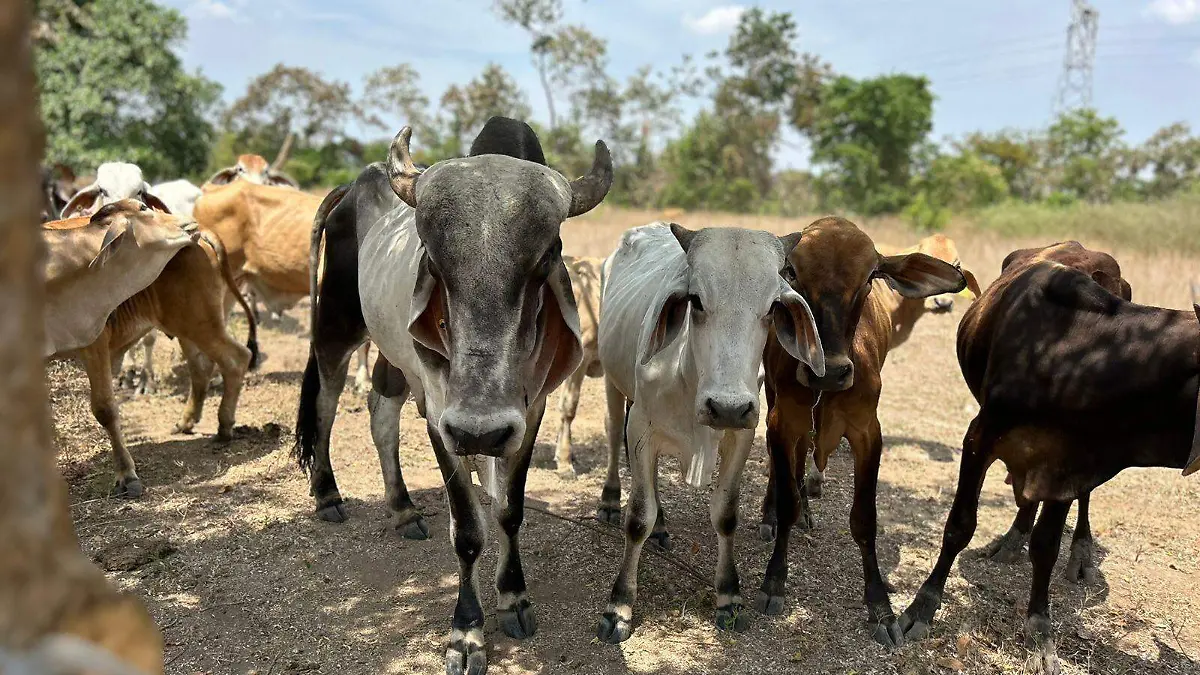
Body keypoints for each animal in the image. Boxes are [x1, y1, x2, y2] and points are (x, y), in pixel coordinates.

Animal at [44, 200, 258, 497]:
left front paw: (127, 475)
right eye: (145, 208)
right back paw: (187, 421)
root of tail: (203, 233)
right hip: (186, 326)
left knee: (236, 358)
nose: (187, 223)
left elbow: (104, 409)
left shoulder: (93, 341)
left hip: (200, 322)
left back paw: (224, 426)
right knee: (201, 369)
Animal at [294, 117, 612, 675]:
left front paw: (514, 598)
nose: (479, 429)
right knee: (326, 406)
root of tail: (353, 187)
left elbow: (509, 510)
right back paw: (328, 493)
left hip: (395, 354)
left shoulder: (529, 412)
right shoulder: (442, 416)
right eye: (433, 261)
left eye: (546, 258)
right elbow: (467, 529)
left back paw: (403, 508)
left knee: (381, 412)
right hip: (336, 326)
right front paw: (466, 632)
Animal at [593, 222, 825, 644]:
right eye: (696, 301)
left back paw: (662, 527)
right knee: (615, 438)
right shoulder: (642, 429)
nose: (727, 406)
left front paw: (729, 597)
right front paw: (618, 606)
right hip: (612, 384)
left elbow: (726, 514)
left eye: (771, 307)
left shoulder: (741, 435)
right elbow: (638, 517)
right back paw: (610, 501)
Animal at [756, 217, 970, 648]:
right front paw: (774, 581)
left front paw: (881, 607)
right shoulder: (782, 421)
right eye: (793, 273)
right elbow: (786, 498)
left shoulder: (868, 432)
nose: (830, 371)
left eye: (871, 277)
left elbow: (865, 520)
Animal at [898, 242, 1200, 674]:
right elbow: (959, 526)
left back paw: (1080, 552)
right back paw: (1011, 540)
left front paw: (1040, 628)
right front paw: (921, 608)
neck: (1077, 360)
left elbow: (1047, 546)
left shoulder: (1069, 466)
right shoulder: (980, 438)